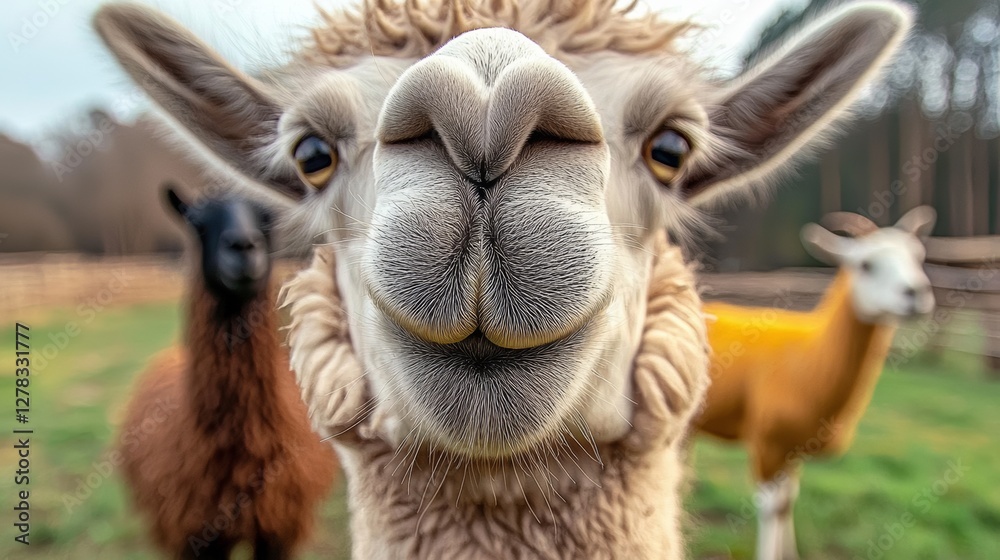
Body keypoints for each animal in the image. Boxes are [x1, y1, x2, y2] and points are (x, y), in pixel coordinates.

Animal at [695, 206, 937, 560]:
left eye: (917, 256)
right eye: (865, 264)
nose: (917, 293)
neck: (810, 355)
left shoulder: (794, 447)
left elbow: (787, 502)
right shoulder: (767, 443)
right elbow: (770, 507)